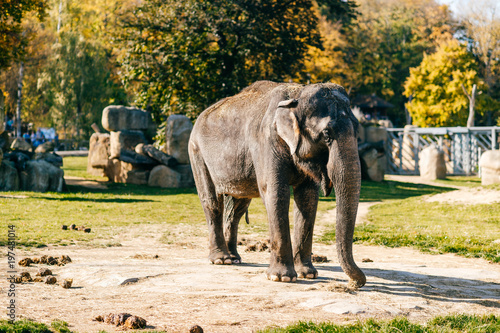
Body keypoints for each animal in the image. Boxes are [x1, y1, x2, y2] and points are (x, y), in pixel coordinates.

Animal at [188, 79, 368, 286]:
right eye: (326, 134)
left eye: (357, 131)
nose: (354, 283)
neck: (297, 95)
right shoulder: (266, 141)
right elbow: (275, 192)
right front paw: (282, 277)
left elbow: (307, 199)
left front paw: (308, 274)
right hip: (196, 153)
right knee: (212, 203)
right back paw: (221, 260)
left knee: (237, 208)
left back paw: (235, 258)